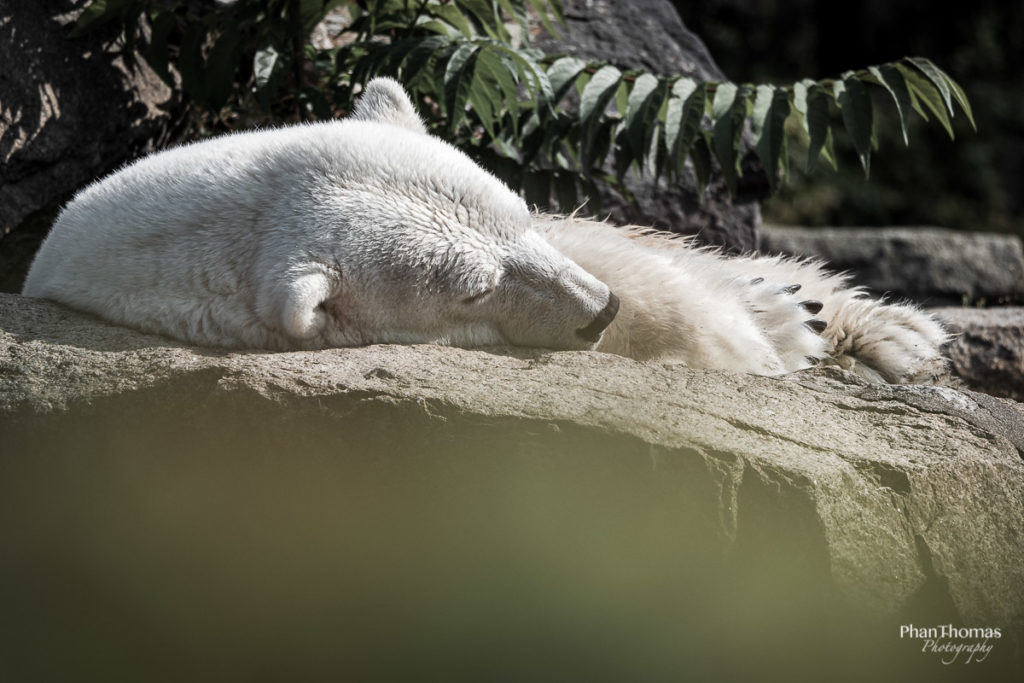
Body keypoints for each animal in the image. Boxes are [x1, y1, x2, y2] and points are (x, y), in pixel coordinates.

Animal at [19, 77, 946, 385]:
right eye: (474, 288)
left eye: (515, 215)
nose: (601, 310)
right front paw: (759, 337)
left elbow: (623, 247)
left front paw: (797, 312)